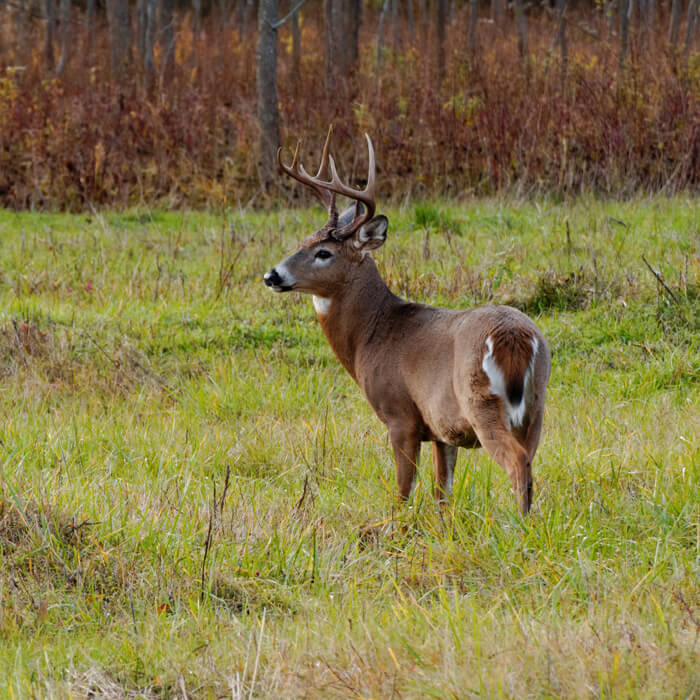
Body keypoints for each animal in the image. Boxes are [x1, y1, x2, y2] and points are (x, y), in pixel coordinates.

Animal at [264, 129, 551, 514]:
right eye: (302, 242)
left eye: (324, 253)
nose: (272, 275)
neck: (371, 336)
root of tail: (515, 336)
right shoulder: (443, 430)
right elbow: (442, 492)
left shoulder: (400, 415)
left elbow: (403, 492)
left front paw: (396, 526)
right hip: (536, 405)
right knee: (531, 462)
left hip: (482, 403)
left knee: (517, 463)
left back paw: (518, 524)